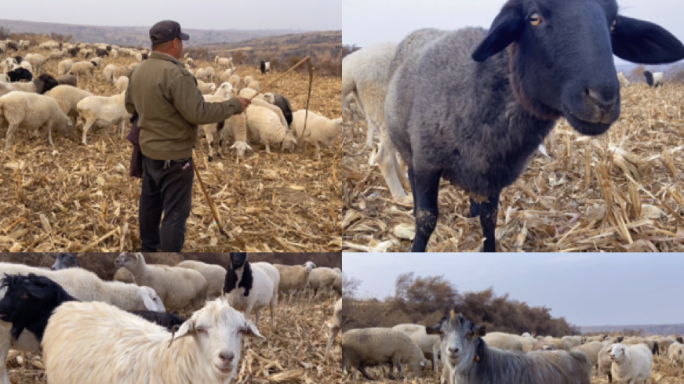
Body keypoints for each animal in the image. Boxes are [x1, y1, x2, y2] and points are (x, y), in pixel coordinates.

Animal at [384, 1, 684, 254]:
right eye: (534, 17)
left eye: (612, 24)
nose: (603, 99)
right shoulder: (427, 163)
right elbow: (426, 219)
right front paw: (416, 249)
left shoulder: (493, 173)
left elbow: (490, 221)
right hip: (407, 148)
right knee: (412, 179)